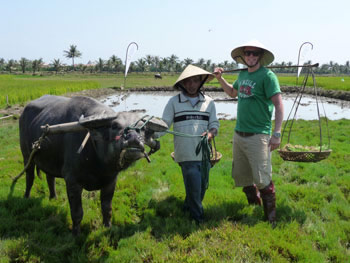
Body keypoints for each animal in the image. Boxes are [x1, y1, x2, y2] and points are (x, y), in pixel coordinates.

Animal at [18, 95, 167, 235]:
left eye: (143, 128)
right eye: (114, 126)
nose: (134, 139)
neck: (99, 163)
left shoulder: (110, 181)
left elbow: (107, 208)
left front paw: (108, 227)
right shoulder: (72, 182)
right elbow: (77, 213)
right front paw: (76, 234)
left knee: (50, 177)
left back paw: (53, 197)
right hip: (26, 156)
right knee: (29, 176)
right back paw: (26, 197)